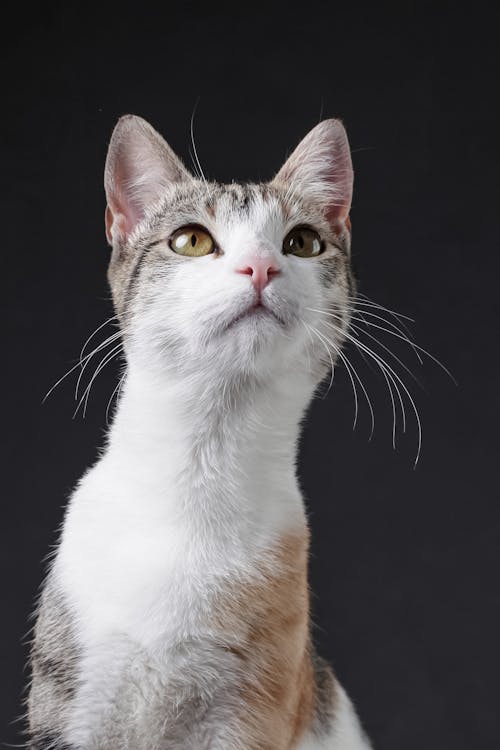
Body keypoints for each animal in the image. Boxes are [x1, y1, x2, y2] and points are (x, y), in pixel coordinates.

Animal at [26, 116, 372, 750]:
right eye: (191, 240)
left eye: (302, 242)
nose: (260, 266)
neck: (201, 467)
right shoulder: (71, 706)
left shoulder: (249, 711)